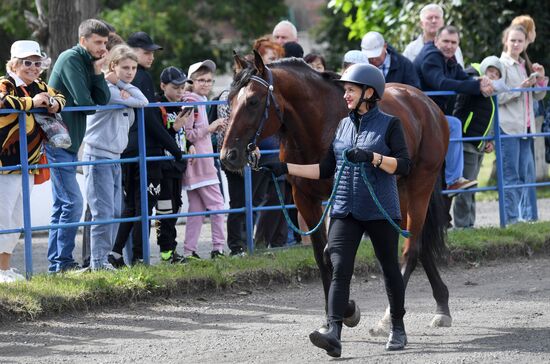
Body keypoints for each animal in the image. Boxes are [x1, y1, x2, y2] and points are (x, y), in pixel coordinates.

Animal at [220, 52, 452, 336]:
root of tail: (427, 105)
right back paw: (442, 306)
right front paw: (333, 317)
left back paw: (388, 319)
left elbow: (333, 254)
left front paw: (348, 310)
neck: (319, 124)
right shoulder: (305, 199)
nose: (228, 156)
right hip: (398, 193)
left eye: (252, 101)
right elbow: (322, 258)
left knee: (412, 250)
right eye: (230, 101)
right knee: (420, 245)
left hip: (420, 185)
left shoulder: (338, 199)